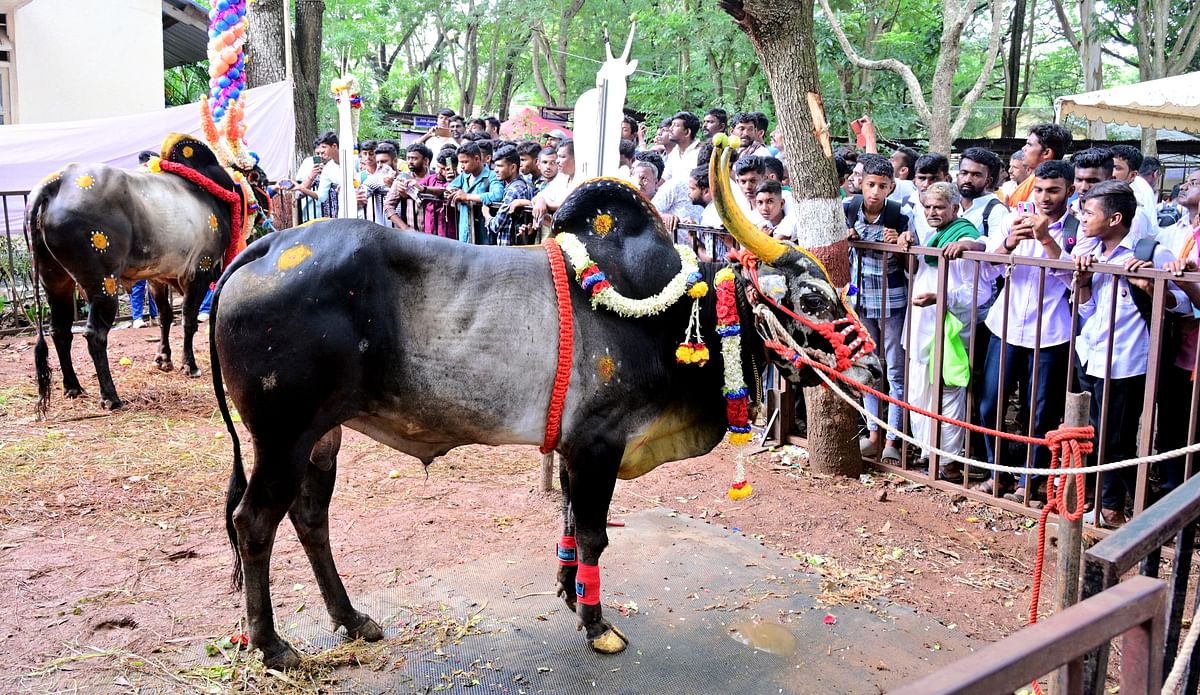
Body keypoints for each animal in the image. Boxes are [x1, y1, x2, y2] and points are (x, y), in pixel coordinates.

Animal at [26, 134, 272, 412]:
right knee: (94, 335)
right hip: (103, 283)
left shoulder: (158, 278)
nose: (267, 207)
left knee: (60, 330)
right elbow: (188, 321)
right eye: (261, 180)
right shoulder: (201, 270)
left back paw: (73, 387)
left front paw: (164, 359)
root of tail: (54, 184)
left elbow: (165, 317)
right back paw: (110, 396)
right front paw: (190, 365)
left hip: (55, 279)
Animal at [208, 141, 883, 667]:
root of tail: (267, 248)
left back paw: (351, 620)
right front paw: (597, 624)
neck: (674, 315)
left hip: (322, 435)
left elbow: (568, 524)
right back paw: (273, 646)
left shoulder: (574, 448)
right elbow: (592, 534)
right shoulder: (598, 444)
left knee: (309, 518)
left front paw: (568, 591)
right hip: (282, 434)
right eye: (814, 298)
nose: (875, 366)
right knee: (254, 522)